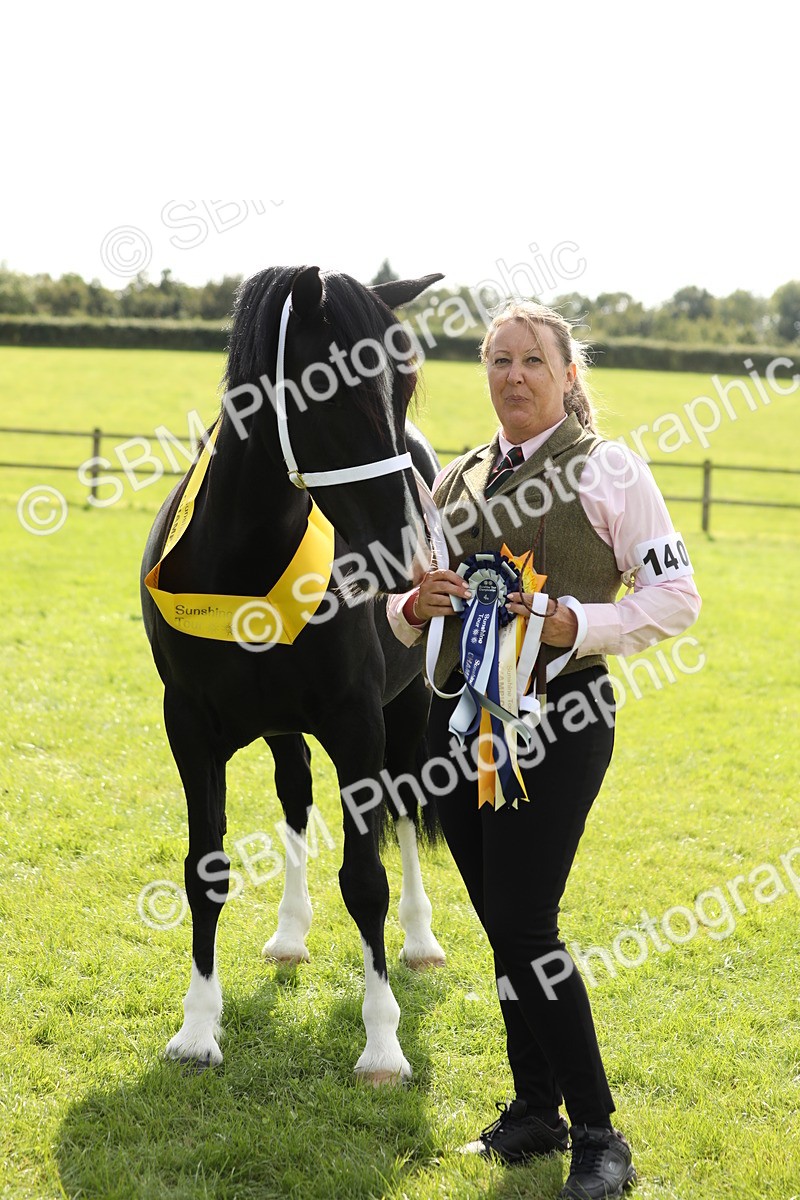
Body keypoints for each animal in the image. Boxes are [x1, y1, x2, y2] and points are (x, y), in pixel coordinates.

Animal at [140, 264, 445, 1084]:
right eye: (329, 386)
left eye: (407, 384)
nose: (414, 552)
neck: (244, 561)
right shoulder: (189, 727)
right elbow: (206, 868)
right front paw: (197, 1028)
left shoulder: (358, 723)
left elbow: (365, 879)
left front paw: (382, 1044)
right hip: (282, 729)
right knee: (296, 796)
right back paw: (289, 933)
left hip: (406, 715)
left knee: (406, 809)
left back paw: (420, 941)